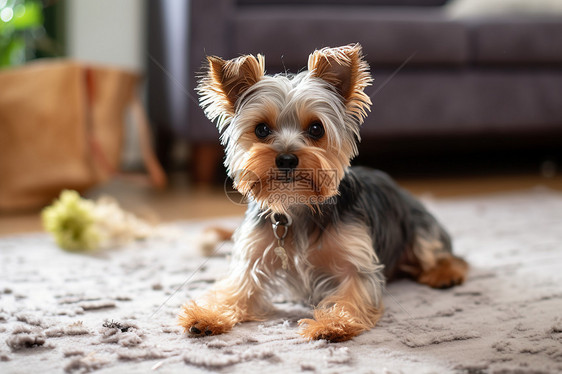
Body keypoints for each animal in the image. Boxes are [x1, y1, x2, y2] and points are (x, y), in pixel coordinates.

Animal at [180, 43, 468, 342]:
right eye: (261, 129)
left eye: (316, 128)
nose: (286, 159)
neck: (297, 205)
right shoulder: (251, 260)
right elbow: (233, 291)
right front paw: (206, 316)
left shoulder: (357, 262)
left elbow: (353, 293)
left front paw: (333, 323)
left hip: (418, 227)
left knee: (447, 255)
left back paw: (444, 274)